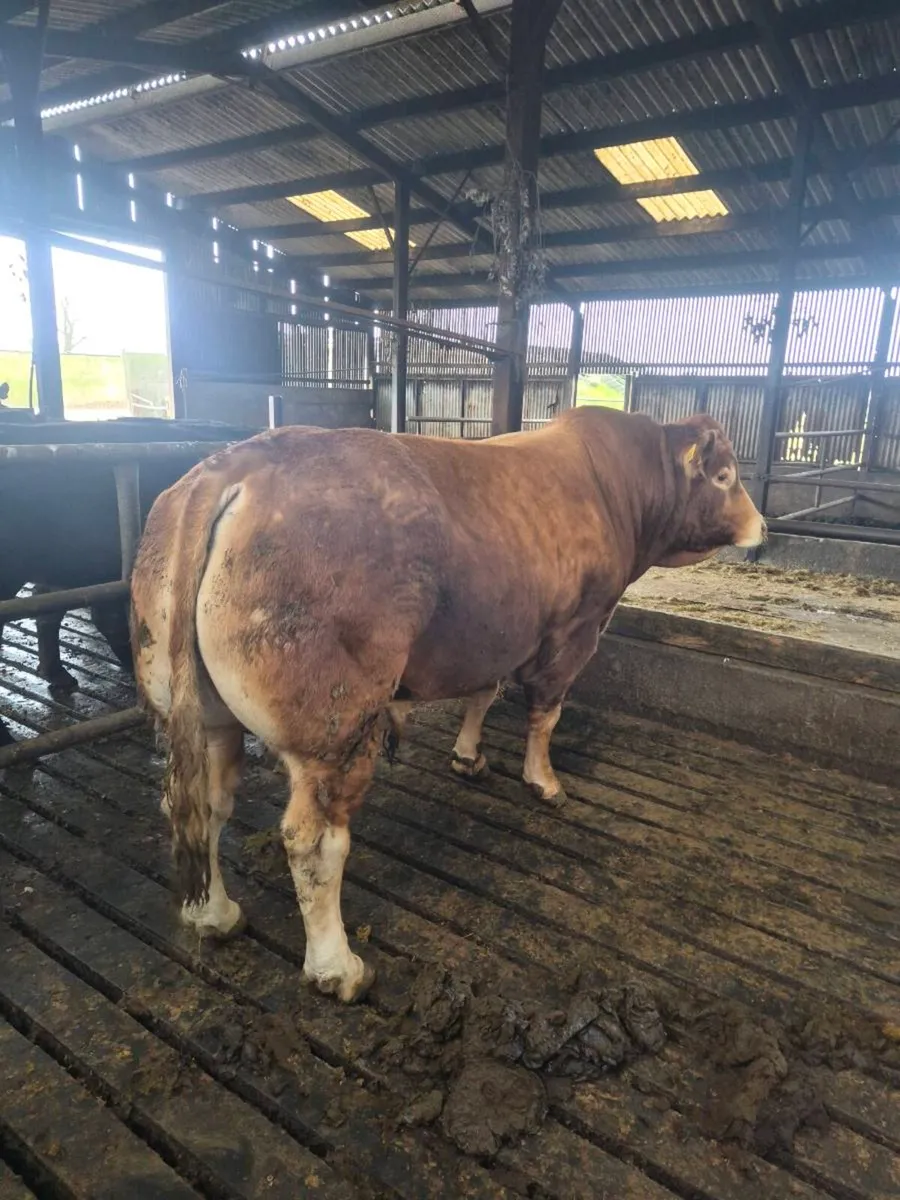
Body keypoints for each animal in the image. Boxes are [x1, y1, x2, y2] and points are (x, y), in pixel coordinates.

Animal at [131, 408, 765, 1003]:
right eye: (725, 475)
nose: (761, 526)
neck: (619, 486)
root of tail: (235, 465)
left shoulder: (498, 632)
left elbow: (485, 692)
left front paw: (468, 755)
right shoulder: (576, 629)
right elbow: (546, 711)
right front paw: (544, 781)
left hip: (203, 714)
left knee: (203, 806)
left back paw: (215, 915)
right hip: (335, 730)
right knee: (314, 841)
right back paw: (339, 968)